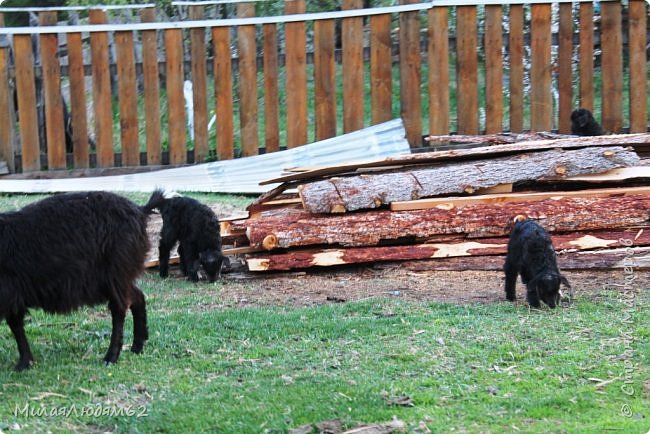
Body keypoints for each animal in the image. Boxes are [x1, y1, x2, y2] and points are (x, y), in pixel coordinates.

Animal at [0, 192, 157, 372]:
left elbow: (16, 326)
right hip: (118, 276)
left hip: (115, 272)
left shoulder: (9, 294)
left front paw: (23, 363)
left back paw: (111, 357)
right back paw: (137, 346)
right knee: (137, 297)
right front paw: (26, 362)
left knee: (119, 308)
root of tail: (140, 210)